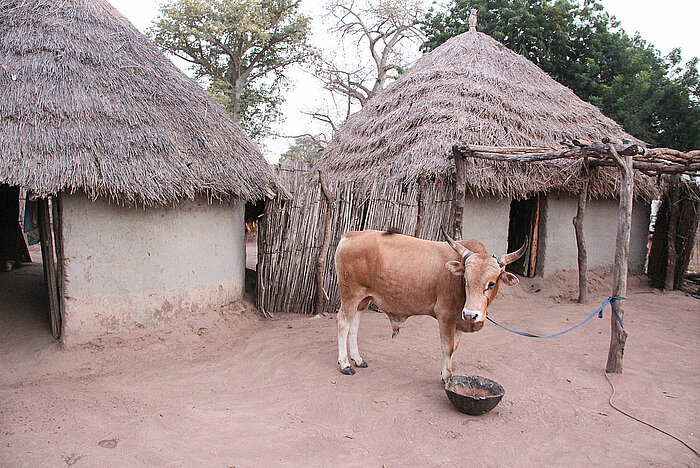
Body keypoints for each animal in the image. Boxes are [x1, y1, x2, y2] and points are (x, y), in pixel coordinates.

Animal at [334, 229, 524, 380]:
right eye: (465, 280)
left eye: (491, 284)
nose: (471, 314)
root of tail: (351, 235)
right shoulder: (446, 316)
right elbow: (447, 347)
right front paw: (447, 377)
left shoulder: (459, 321)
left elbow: (454, 348)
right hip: (351, 294)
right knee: (343, 323)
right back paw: (345, 364)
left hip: (363, 299)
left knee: (354, 326)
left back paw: (358, 359)